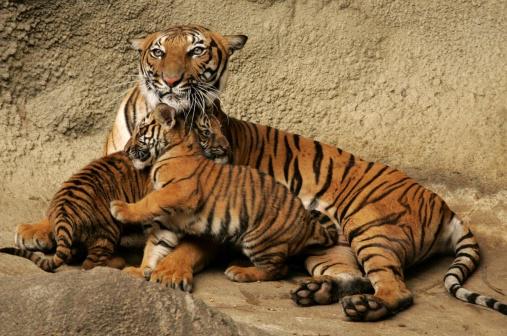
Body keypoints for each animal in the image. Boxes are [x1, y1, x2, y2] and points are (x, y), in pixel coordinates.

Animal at [16, 25, 507, 318]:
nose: (171, 82)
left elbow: (183, 242)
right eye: (157, 52)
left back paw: (364, 308)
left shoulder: (208, 209)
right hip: (334, 248)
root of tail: (446, 207)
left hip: (372, 228)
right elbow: (69, 204)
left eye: (196, 51)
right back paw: (315, 293)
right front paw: (33, 229)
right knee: (353, 275)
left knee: (395, 288)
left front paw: (169, 272)